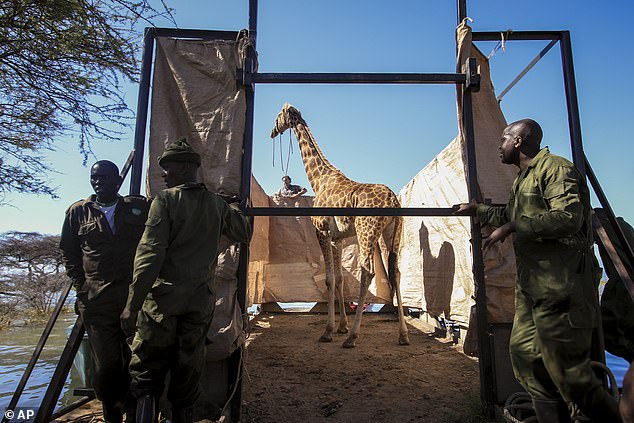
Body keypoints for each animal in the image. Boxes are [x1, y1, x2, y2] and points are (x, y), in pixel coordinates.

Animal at [268, 104, 410, 350]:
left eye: (279, 115)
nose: (272, 132)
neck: (319, 179)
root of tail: (393, 199)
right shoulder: (339, 238)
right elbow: (341, 279)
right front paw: (341, 326)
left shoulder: (322, 231)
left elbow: (329, 279)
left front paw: (329, 331)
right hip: (393, 233)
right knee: (396, 272)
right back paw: (403, 335)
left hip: (366, 232)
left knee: (368, 272)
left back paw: (352, 337)